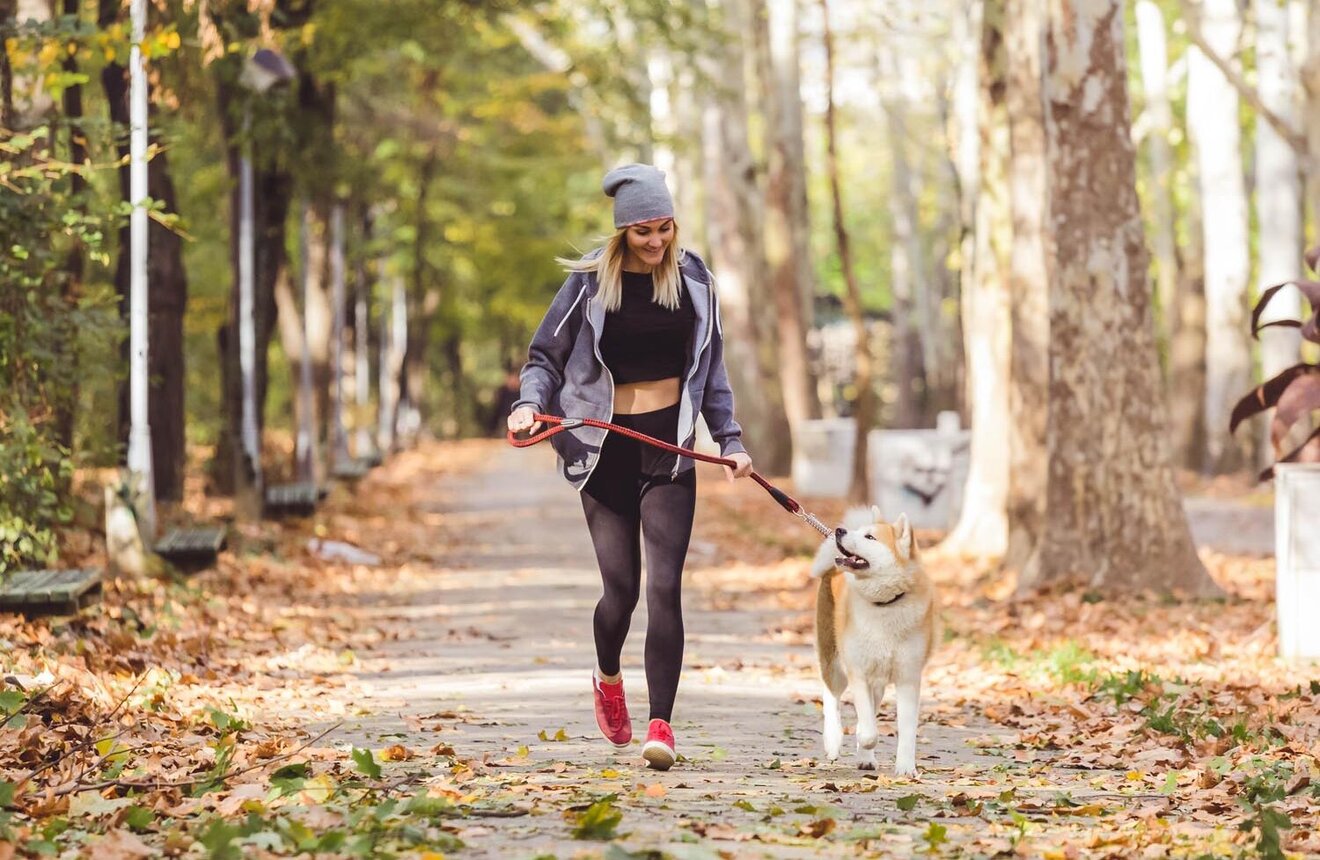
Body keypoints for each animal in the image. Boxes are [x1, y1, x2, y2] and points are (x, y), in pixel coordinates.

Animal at [802, 506, 939, 775]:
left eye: (870, 537)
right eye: (861, 532)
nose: (840, 531)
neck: (885, 604)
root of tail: (831, 569)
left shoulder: (908, 678)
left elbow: (907, 731)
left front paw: (906, 768)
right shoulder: (859, 673)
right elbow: (868, 731)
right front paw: (862, 740)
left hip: (878, 680)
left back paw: (865, 758)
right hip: (834, 662)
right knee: (830, 695)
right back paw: (833, 740)